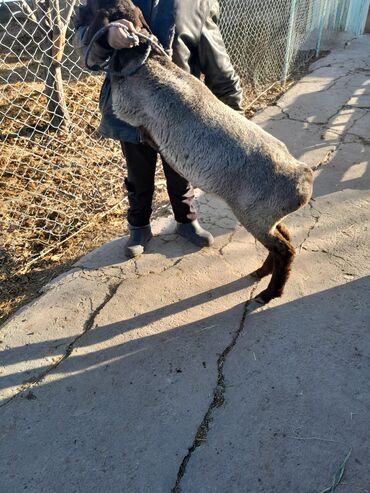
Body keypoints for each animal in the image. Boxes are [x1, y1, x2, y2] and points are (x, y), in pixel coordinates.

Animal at [82, 0, 314, 304]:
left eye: (99, 7)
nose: (81, 13)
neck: (147, 59)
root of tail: (304, 178)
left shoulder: (128, 107)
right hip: (268, 218)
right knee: (283, 238)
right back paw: (260, 274)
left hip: (256, 216)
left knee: (284, 250)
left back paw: (269, 292)